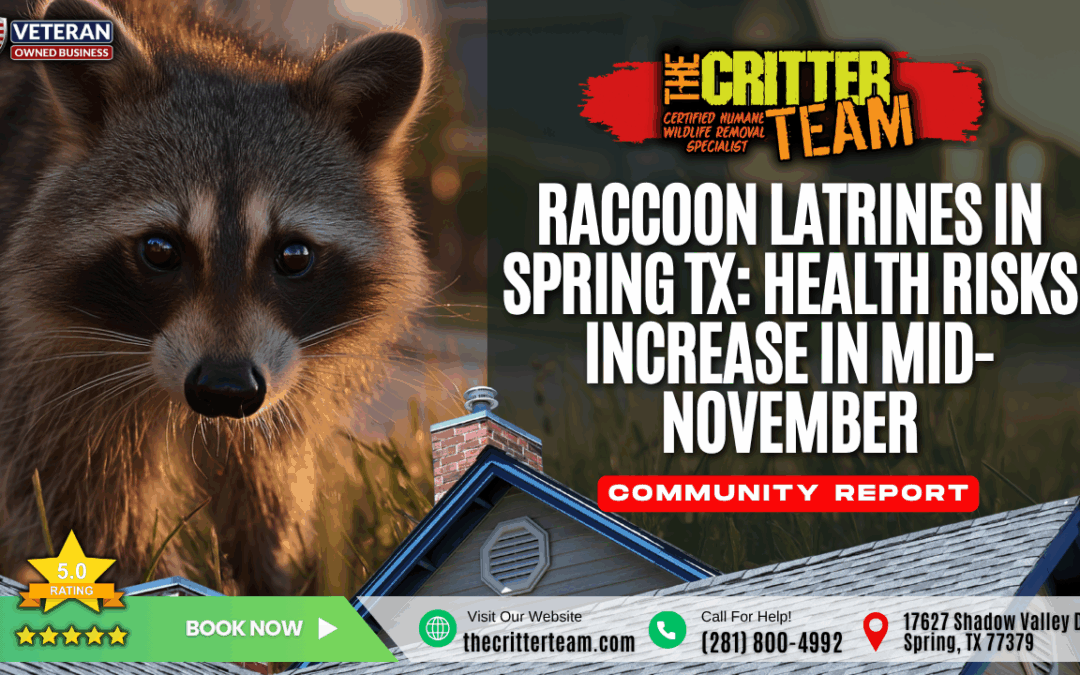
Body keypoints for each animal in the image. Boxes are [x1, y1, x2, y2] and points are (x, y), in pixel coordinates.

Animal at [0, 0, 431, 595]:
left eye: (293, 255)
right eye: (160, 250)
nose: (225, 391)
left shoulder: (287, 368)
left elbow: (263, 479)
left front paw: (271, 578)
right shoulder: (41, 360)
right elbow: (79, 502)